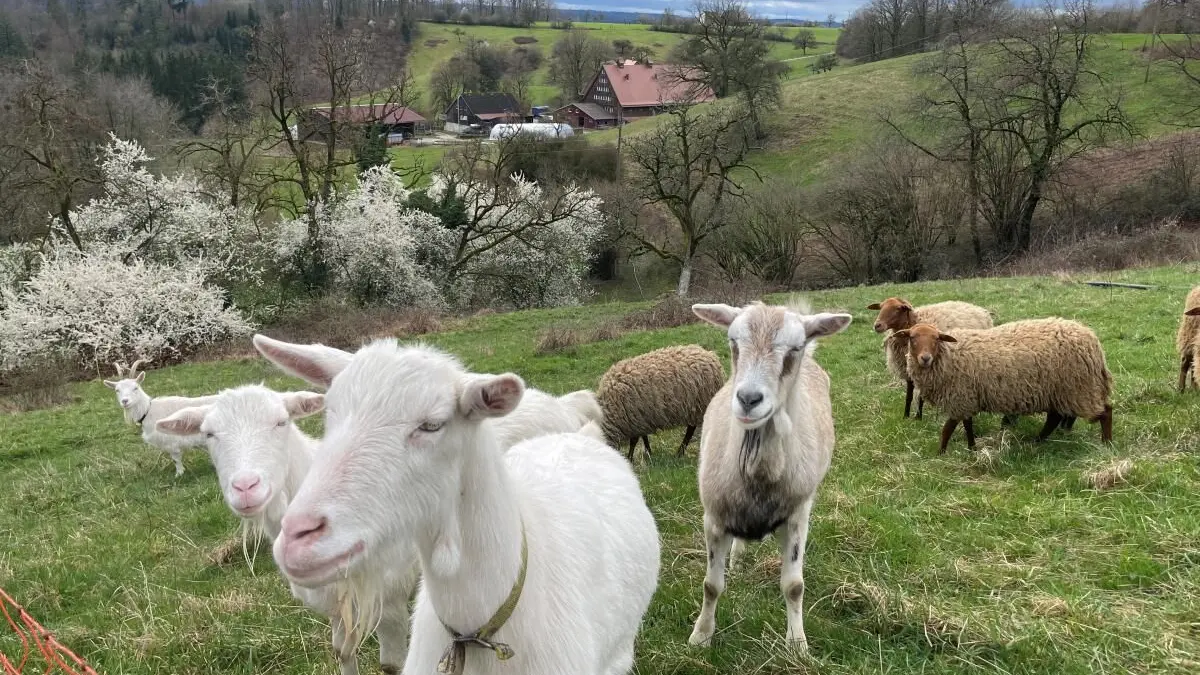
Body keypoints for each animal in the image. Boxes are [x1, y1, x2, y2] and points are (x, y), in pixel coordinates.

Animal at [156, 385, 416, 675]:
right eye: (209, 434)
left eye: (281, 422)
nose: (245, 487)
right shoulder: (337, 604)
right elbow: (343, 652)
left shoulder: (391, 600)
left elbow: (392, 665)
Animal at [596, 344, 725, 461]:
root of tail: (711, 356)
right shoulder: (641, 417)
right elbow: (644, 437)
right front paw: (648, 453)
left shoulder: (633, 418)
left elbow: (634, 441)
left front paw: (630, 458)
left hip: (700, 404)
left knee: (692, 430)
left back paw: (681, 452)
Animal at [688, 301, 852, 651]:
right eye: (733, 342)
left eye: (795, 348)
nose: (749, 399)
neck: (758, 474)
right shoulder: (714, 517)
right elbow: (711, 585)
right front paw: (701, 635)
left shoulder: (797, 517)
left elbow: (794, 586)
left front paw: (797, 644)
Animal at [893, 319, 1113, 453]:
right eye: (912, 338)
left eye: (936, 339)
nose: (925, 358)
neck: (948, 355)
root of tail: (1093, 341)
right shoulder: (967, 398)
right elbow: (967, 425)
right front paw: (971, 448)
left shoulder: (960, 397)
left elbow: (947, 429)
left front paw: (941, 452)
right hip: (1060, 391)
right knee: (1054, 418)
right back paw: (1037, 441)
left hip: (1078, 387)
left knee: (1105, 411)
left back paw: (1107, 443)